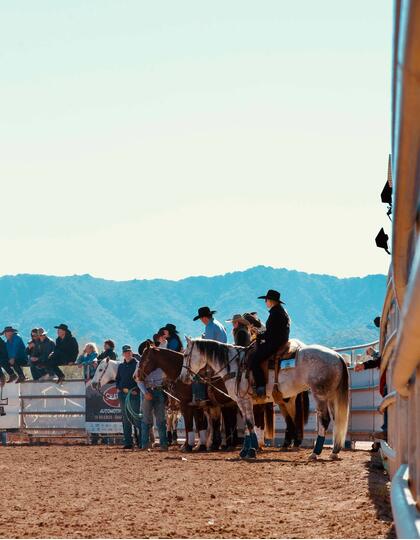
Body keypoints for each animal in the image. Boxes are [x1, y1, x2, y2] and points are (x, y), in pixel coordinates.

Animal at [182, 338, 350, 460]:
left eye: (185, 355)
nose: (183, 378)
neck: (235, 365)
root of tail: (337, 356)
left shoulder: (243, 400)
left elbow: (250, 424)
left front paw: (252, 450)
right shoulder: (244, 402)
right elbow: (248, 425)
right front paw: (245, 451)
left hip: (320, 395)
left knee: (324, 420)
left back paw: (316, 452)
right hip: (331, 396)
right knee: (336, 420)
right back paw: (334, 451)